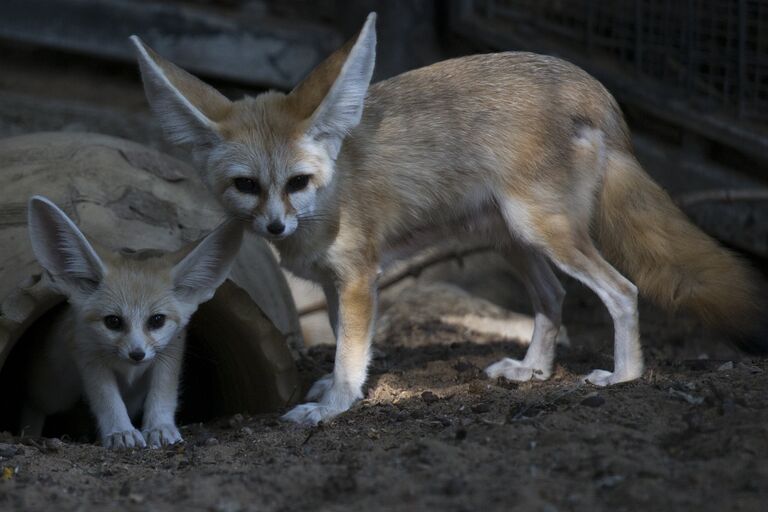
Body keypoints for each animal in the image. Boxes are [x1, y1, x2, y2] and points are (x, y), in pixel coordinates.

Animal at [24, 196, 242, 448]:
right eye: (113, 321)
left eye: (157, 320)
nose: (137, 354)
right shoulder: (90, 358)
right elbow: (108, 400)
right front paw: (120, 431)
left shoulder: (170, 352)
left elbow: (163, 394)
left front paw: (160, 427)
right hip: (56, 392)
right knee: (35, 403)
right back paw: (29, 434)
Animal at [129, 14, 760, 426]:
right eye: (247, 186)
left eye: (297, 182)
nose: (276, 229)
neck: (328, 195)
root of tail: (593, 87)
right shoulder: (337, 284)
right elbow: (342, 343)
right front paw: (337, 389)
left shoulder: (360, 278)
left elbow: (350, 352)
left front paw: (332, 407)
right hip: (515, 240)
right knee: (554, 299)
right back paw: (532, 372)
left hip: (544, 232)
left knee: (623, 291)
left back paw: (625, 376)